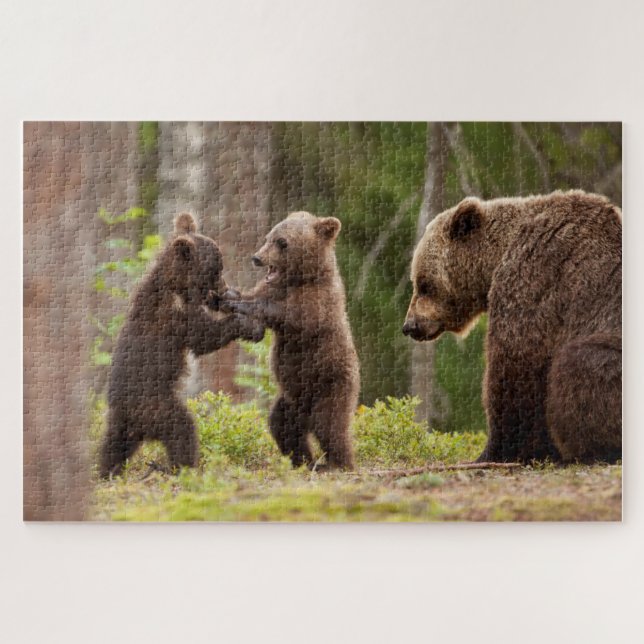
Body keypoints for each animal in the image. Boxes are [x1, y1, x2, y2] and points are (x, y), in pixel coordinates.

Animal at [99, 213, 264, 478]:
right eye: (217, 269)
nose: (225, 288)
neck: (178, 285)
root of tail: (131, 417)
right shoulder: (174, 314)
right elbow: (203, 336)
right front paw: (248, 324)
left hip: (122, 424)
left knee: (112, 447)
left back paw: (107, 471)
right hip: (157, 406)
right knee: (182, 428)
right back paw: (183, 466)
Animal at [221, 211, 360, 470]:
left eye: (282, 242)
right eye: (268, 237)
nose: (257, 258)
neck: (299, 279)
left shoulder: (319, 300)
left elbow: (290, 315)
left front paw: (240, 303)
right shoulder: (272, 286)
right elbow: (256, 296)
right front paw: (229, 295)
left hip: (331, 384)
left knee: (330, 425)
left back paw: (338, 463)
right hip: (290, 400)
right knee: (283, 425)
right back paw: (303, 460)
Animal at [403, 190, 622, 464]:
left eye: (424, 284)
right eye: (417, 281)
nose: (409, 325)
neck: (496, 259)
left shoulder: (535, 280)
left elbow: (514, 367)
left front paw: (493, 451)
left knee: (580, 362)